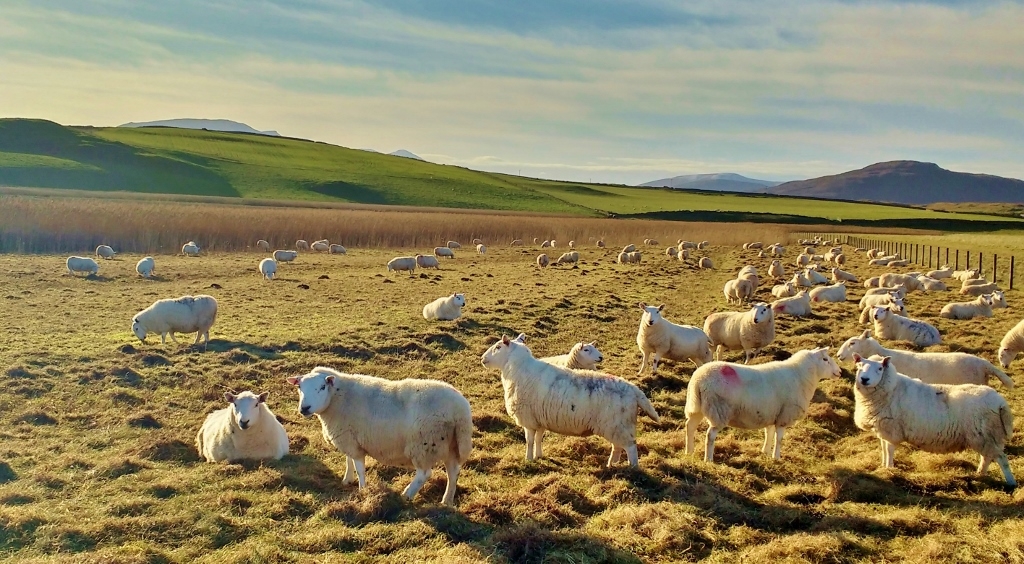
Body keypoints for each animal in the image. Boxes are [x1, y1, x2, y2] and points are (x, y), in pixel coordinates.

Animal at [287, 367, 472, 506]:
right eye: (299, 388)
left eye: (322, 387)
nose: (304, 408)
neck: (337, 398)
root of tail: (461, 410)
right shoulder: (349, 439)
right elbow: (348, 461)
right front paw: (347, 480)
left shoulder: (352, 441)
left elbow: (359, 468)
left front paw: (362, 490)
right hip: (451, 444)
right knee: (453, 472)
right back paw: (447, 500)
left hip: (425, 444)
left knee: (424, 473)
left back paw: (407, 494)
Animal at [481, 335, 659, 468]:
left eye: (498, 347)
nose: (483, 358)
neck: (518, 369)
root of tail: (635, 390)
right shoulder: (540, 419)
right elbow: (538, 439)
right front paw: (539, 456)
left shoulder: (529, 420)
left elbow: (530, 441)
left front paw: (529, 459)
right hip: (616, 427)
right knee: (617, 447)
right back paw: (611, 465)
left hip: (619, 425)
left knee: (630, 447)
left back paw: (632, 468)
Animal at [685, 348, 841, 462]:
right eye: (825, 359)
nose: (840, 372)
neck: (801, 376)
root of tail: (699, 379)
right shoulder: (784, 416)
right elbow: (779, 439)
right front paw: (776, 457)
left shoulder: (772, 414)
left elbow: (769, 433)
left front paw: (765, 452)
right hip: (719, 410)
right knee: (710, 435)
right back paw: (708, 459)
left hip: (697, 407)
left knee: (690, 426)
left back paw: (689, 451)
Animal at [851, 355, 1015, 486]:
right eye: (859, 366)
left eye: (880, 368)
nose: (864, 379)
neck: (892, 389)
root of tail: (1001, 403)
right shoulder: (884, 430)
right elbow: (884, 449)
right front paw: (884, 466)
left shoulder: (892, 430)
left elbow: (889, 450)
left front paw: (889, 469)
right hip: (986, 437)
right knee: (987, 457)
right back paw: (980, 474)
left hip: (985, 435)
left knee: (1001, 458)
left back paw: (1010, 483)